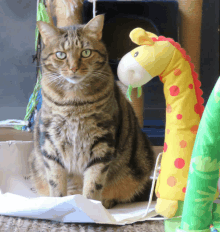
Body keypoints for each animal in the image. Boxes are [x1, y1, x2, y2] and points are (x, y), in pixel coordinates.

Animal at [28, 14, 155, 208]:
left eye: (86, 52)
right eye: (60, 55)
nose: (73, 68)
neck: (73, 102)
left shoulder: (102, 142)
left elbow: (94, 182)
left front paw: (90, 207)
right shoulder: (50, 141)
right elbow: (56, 180)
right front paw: (60, 202)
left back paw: (106, 202)